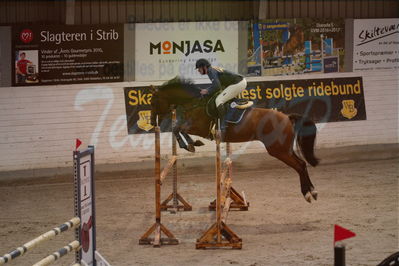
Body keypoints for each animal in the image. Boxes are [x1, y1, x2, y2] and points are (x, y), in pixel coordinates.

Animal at [150, 77, 322, 204]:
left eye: (154, 101)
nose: (152, 122)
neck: (193, 103)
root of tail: (287, 117)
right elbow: (178, 128)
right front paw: (192, 144)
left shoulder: (198, 127)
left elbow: (177, 129)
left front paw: (190, 145)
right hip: (285, 148)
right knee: (302, 164)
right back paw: (313, 191)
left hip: (278, 149)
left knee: (299, 165)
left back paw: (307, 193)